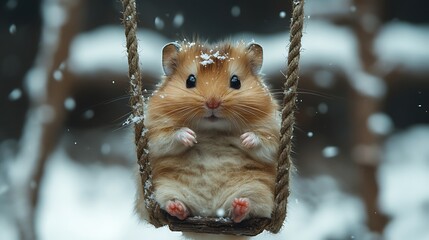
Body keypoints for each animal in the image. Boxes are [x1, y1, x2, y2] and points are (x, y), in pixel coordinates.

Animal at [135, 39, 280, 223]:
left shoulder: (272, 132)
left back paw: (240, 206)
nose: (213, 103)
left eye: (236, 81)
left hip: (257, 190)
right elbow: (168, 137)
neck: (213, 129)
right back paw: (177, 207)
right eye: (190, 80)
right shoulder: (155, 131)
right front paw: (190, 137)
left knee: (246, 209)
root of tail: (209, 212)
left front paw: (244, 139)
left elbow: (264, 142)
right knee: (175, 206)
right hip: (164, 188)